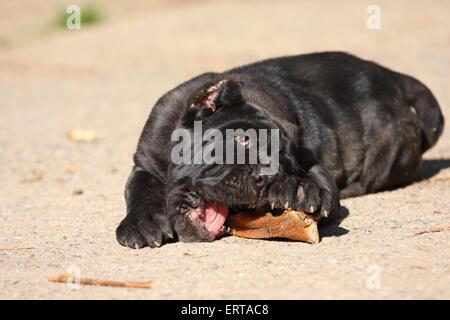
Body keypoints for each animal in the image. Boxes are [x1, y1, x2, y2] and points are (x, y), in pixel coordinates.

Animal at [115, 51, 442, 249]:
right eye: (242, 140)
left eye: (285, 164)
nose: (268, 177)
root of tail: (388, 74)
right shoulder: (144, 163)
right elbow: (140, 190)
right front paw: (141, 225)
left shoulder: (315, 165)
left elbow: (323, 187)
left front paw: (299, 191)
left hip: (386, 152)